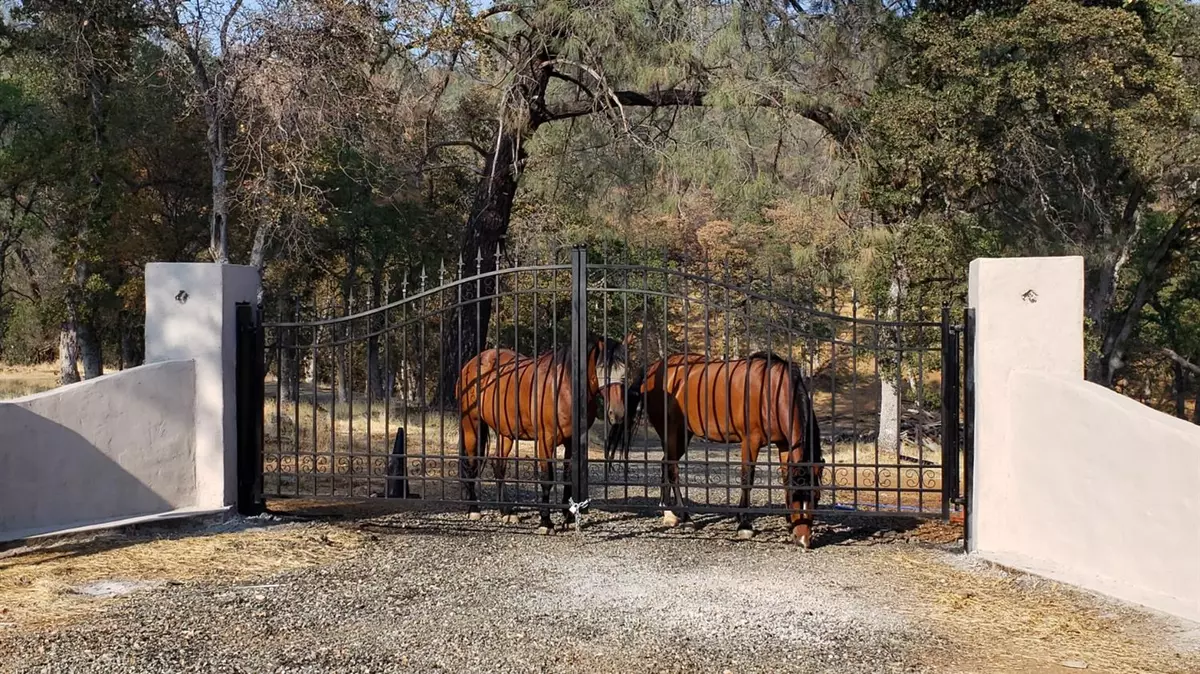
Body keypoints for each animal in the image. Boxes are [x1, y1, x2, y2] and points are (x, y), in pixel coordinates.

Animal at [453, 333, 628, 532]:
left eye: (625, 373)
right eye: (602, 371)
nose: (617, 414)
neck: (564, 387)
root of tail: (471, 364)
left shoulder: (571, 442)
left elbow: (567, 476)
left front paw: (568, 517)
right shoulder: (546, 440)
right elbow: (547, 479)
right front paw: (546, 521)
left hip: (505, 433)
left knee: (498, 465)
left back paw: (507, 512)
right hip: (471, 425)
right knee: (471, 464)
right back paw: (474, 509)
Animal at [609, 352, 825, 546]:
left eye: (816, 496)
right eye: (796, 497)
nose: (803, 541)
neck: (771, 390)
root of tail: (653, 369)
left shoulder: (784, 445)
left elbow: (785, 478)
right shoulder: (751, 441)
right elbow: (747, 479)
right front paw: (744, 525)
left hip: (683, 433)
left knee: (666, 463)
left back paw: (668, 513)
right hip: (670, 431)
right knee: (672, 469)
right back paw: (685, 517)